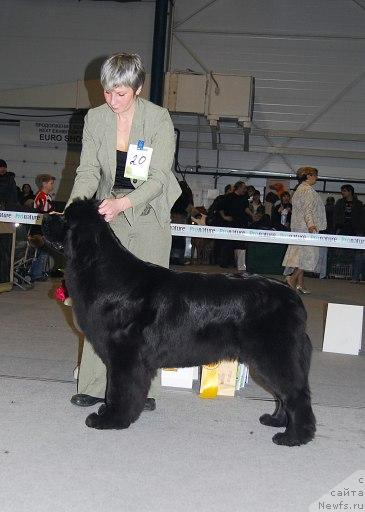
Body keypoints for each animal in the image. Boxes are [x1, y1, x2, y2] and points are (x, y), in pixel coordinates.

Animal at [43, 198, 316, 446]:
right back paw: (276, 421)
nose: (45, 217)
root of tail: (293, 298)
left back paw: (294, 437)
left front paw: (112, 419)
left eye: (65, 219)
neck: (102, 270)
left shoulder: (126, 355)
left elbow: (119, 389)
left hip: (275, 354)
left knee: (296, 394)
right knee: (283, 394)